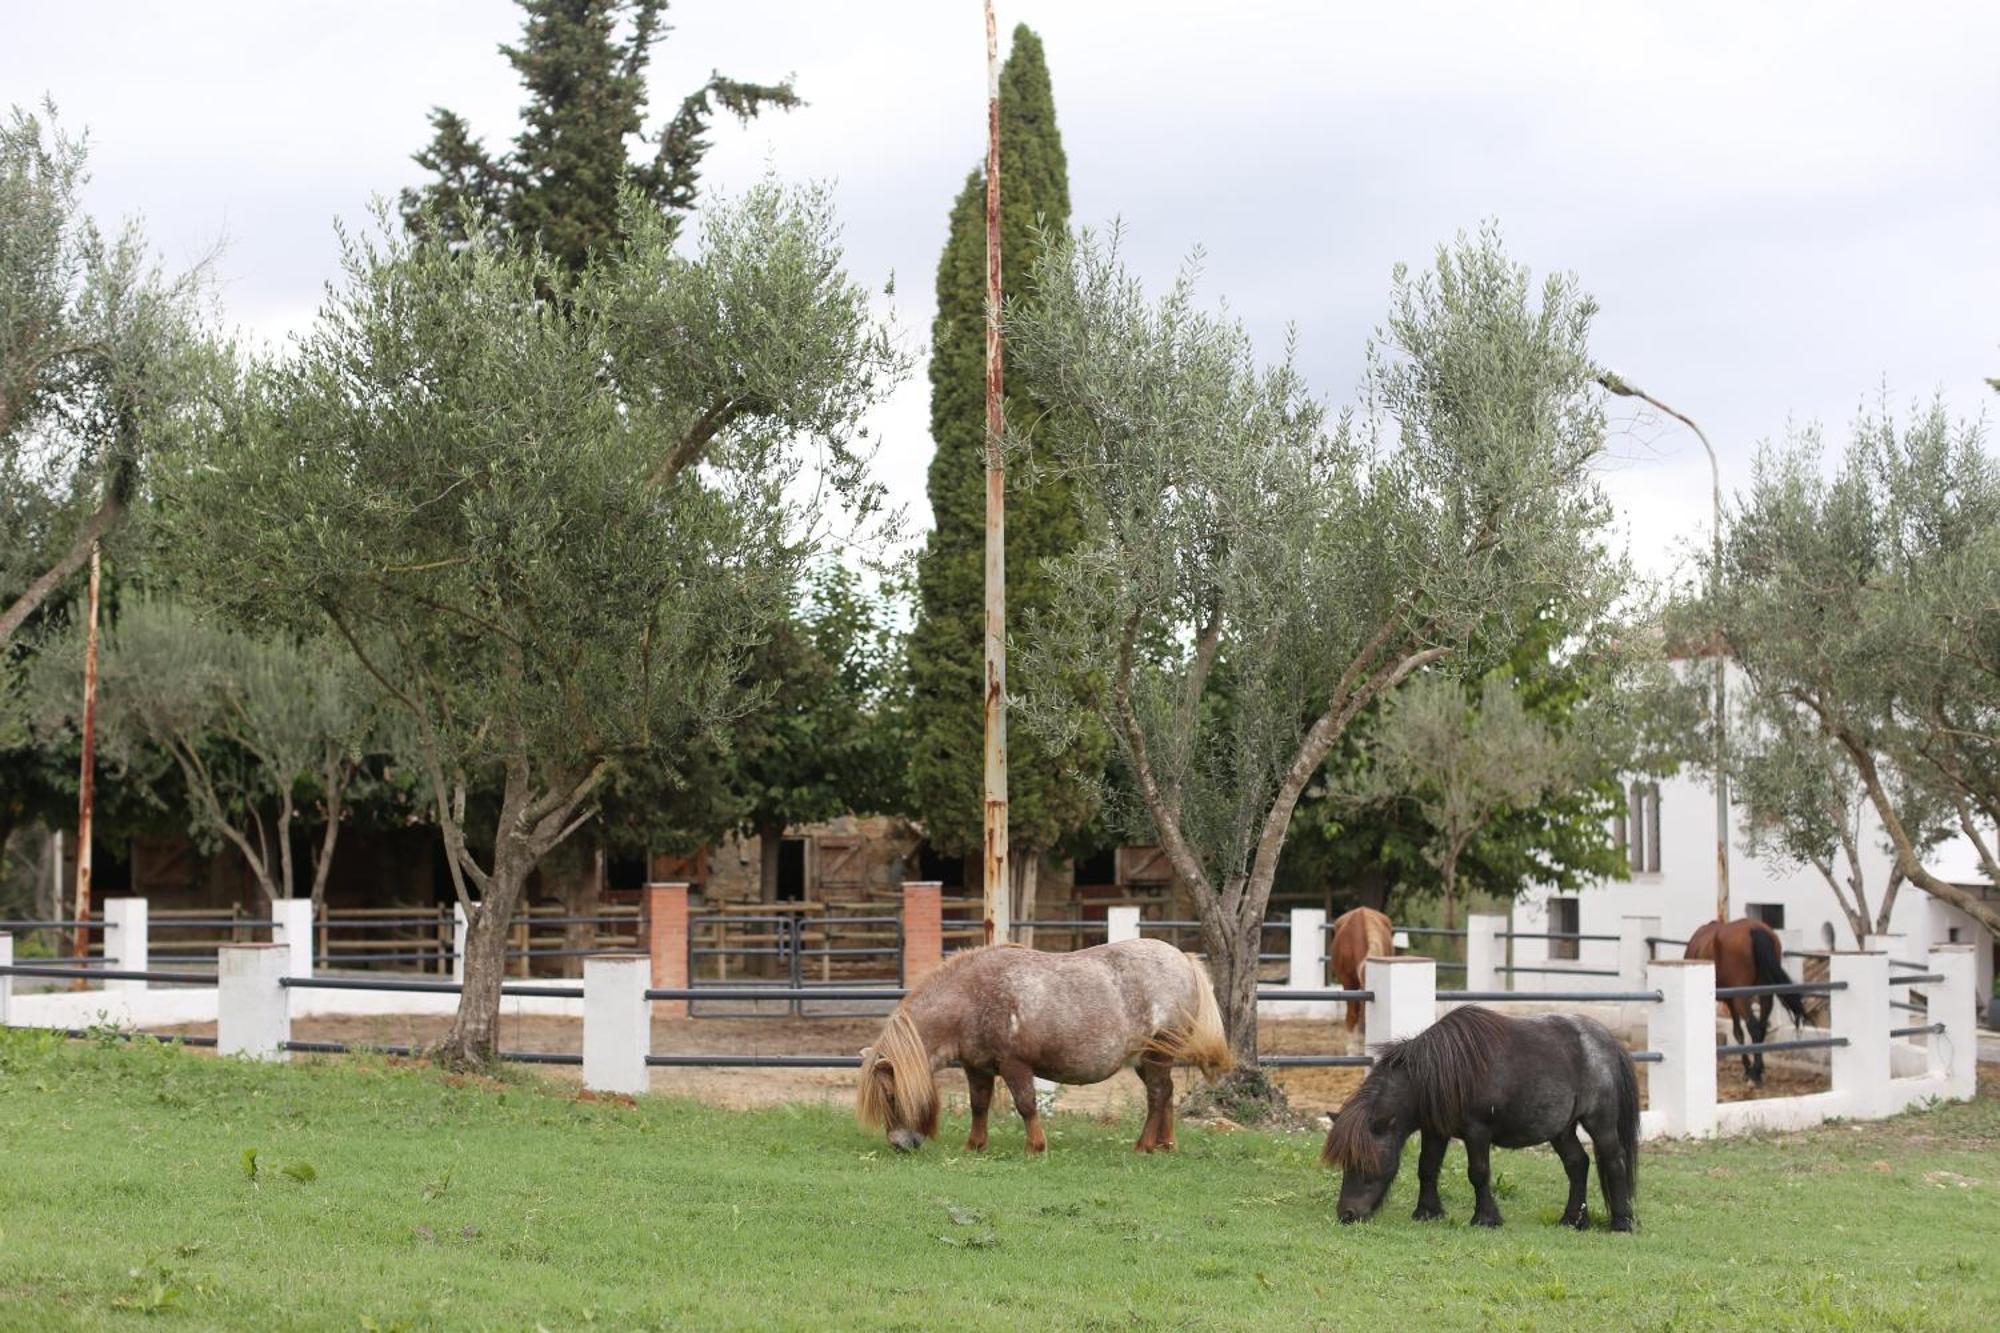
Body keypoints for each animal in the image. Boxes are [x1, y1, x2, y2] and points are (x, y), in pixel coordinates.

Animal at [860, 932, 1232, 1152]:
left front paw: (1035, 1147)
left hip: (1156, 1053)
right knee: (1166, 1094)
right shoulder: (976, 1069)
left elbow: (1026, 1105)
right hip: (1145, 1058)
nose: (900, 1145)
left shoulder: (1015, 1066)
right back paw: (1165, 1144)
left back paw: (1143, 1145)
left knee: (1157, 1095)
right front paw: (974, 1146)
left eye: (891, 1095)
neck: (973, 998)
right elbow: (979, 1105)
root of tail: (1182, 958)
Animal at [1320, 1008, 1632, 1224]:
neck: (1441, 1072)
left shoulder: (1477, 1132)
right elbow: (1427, 1168)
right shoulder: (1436, 1130)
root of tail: (1608, 1041)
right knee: (1577, 1164)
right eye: (1345, 1162)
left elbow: (1478, 1172)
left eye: (1366, 1162)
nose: (1347, 1214)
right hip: (1562, 1129)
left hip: (1600, 1123)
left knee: (1614, 1162)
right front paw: (1427, 1213)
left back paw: (1622, 1223)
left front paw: (1486, 1218)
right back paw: (1572, 1220)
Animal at [1688, 920, 1816, 1088]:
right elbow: (1739, 1031)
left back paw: (1754, 1075)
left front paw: (1747, 1069)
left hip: (1741, 998)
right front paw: (1749, 1069)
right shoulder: (1732, 1001)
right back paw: (1758, 1070)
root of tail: (1754, 929)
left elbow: (1738, 1032)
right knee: (1761, 1027)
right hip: (1764, 995)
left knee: (1754, 1027)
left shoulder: (1732, 1001)